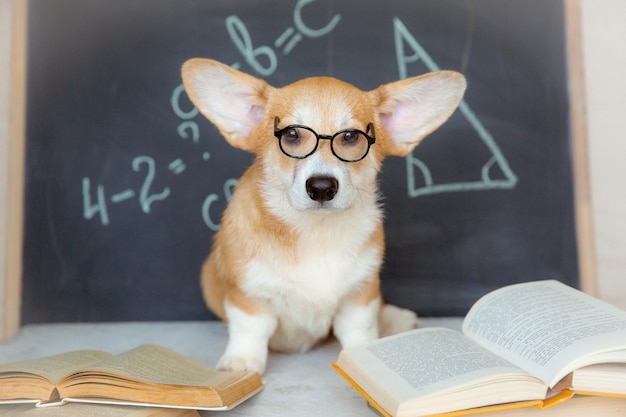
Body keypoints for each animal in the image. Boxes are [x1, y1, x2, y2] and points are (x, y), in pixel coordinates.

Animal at [180, 57, 464, 372]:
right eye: (291, 134)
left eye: (351, 137)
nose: (321, 188)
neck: (315, 230)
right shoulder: (248, 293)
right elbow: (251, 328)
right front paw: (241, 363)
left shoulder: (360, 294)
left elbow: (360, 328)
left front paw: (363, 357)